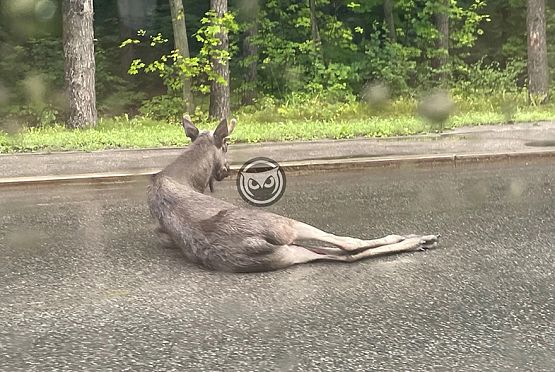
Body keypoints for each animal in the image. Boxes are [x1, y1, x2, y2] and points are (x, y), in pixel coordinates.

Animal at [147, 117, 438, 274]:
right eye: (227, 145)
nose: (227, 170)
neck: (190, 177)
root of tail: (251, 244)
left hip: (287, 254)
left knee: (343, 255)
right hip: (284, 225)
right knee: (348, 244)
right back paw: (417, 238)